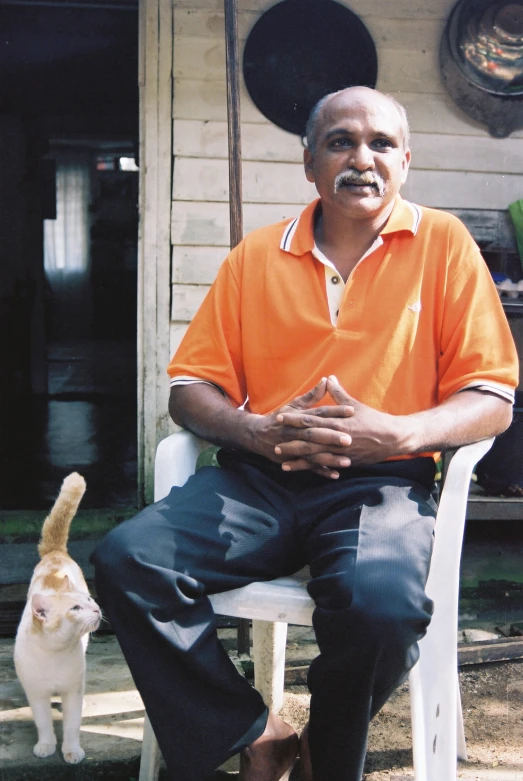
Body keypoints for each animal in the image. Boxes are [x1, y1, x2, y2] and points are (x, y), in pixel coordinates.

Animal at [13, 470, 101, 760]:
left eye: (88, 600)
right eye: (75, 609)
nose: (97, 609)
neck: (55, 652)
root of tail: (55, 554)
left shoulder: (73, 691)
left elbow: (72, 725)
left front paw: (71, 751)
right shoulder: (36, 693)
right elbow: (43, 722)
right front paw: (46, 746)